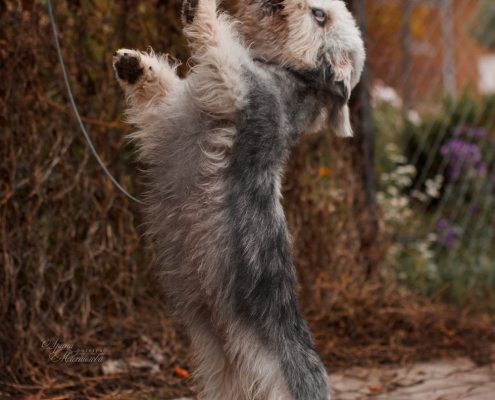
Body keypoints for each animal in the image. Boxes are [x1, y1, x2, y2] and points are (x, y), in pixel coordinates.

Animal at [114, 1, 366, 398]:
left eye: (319, 16)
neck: (290, 73)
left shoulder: (235, 86)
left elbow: (217, 43)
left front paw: (199, 9)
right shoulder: (170, 115)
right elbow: (158, 91)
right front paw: (134, 65)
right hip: (224, 377)